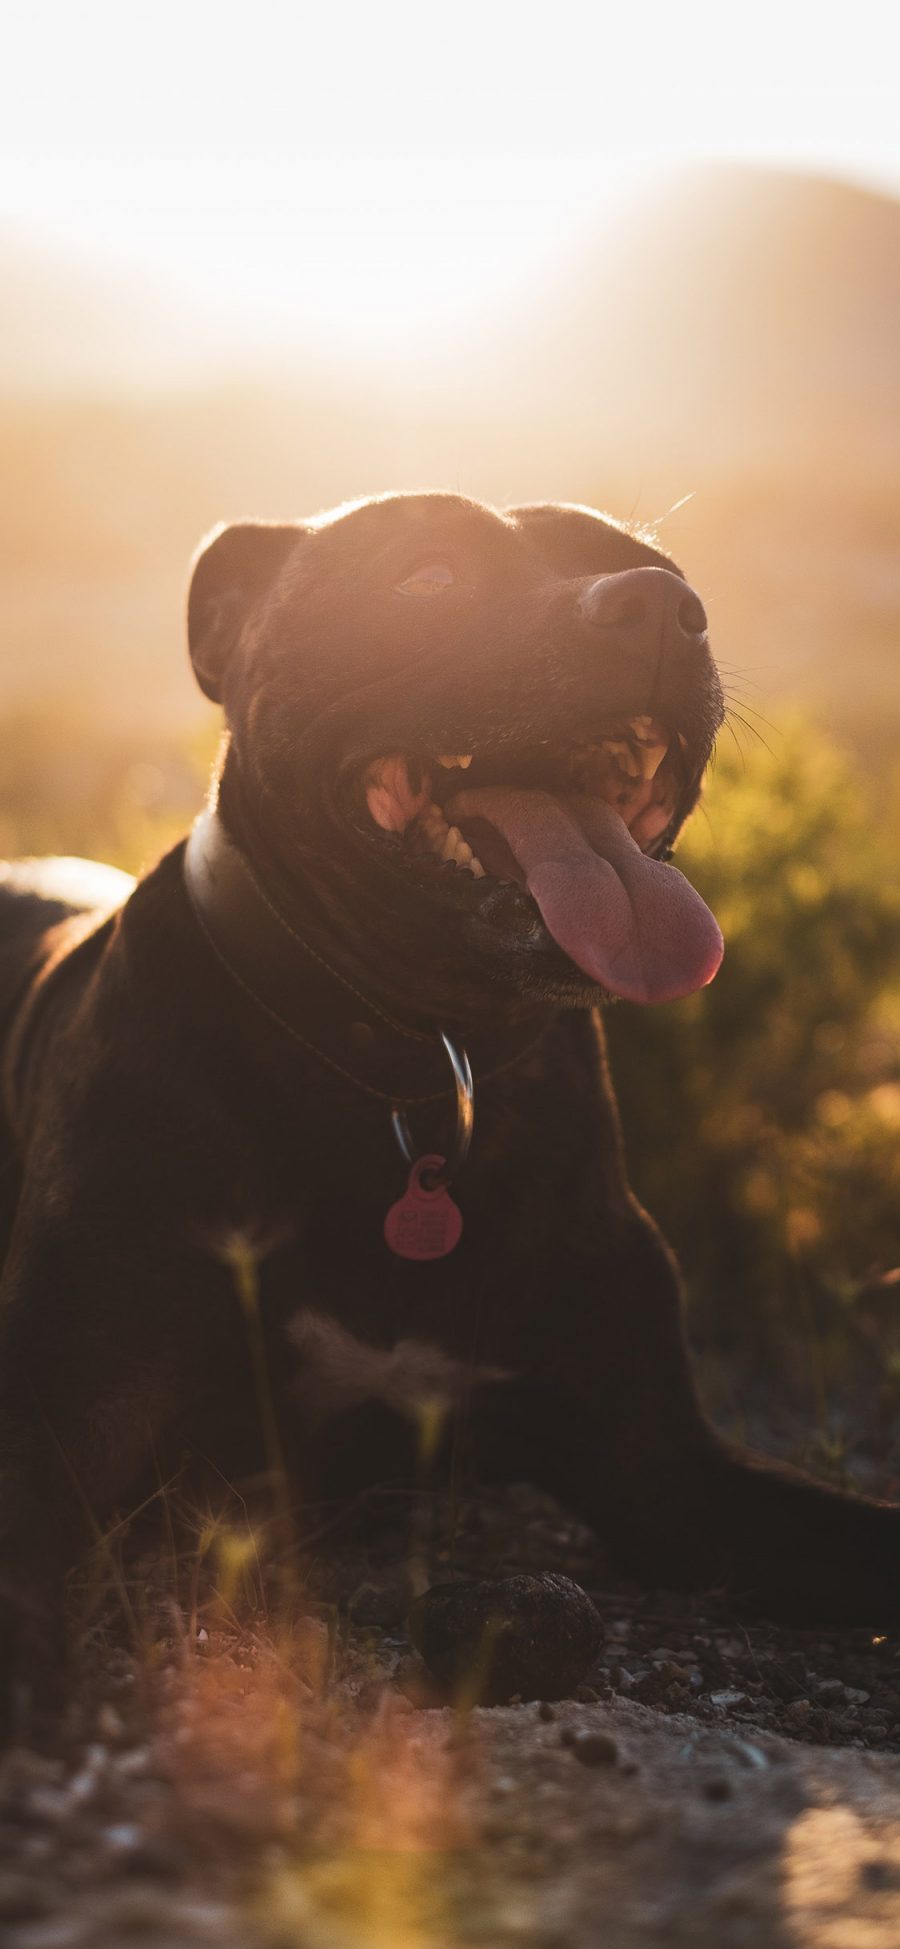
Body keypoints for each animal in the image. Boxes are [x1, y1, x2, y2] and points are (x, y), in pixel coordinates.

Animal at [1, 491, 900, 1707]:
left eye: (660, 568)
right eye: (426, 575)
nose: (659, 608)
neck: (414, 1063)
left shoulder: (671, 1475)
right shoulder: (59, 1420)